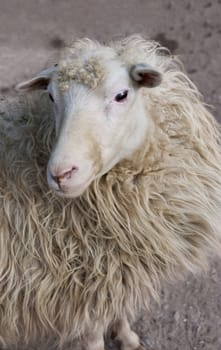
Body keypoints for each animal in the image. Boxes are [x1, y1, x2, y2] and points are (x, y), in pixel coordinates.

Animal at [0, 36, 221, 350]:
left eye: (121, 95)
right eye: (51, 97)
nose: (60, 173)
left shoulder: (114, 276)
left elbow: (121, 311)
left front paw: (127, 337)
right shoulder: (86, 294)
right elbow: (94, 337)